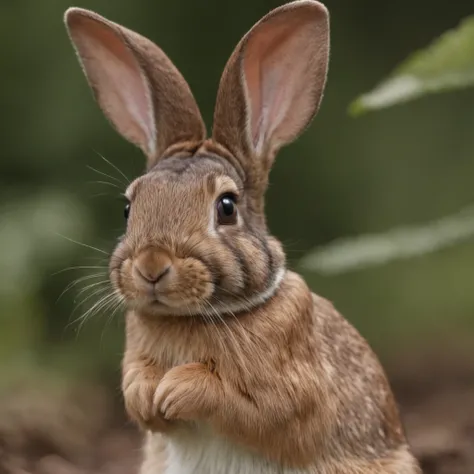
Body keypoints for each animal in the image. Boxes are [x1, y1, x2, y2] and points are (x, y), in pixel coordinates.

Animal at [64, 2, 422, 474]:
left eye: (227, 207)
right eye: (128, 208)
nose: (151, 266)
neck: (195, 316)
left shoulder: (292, 396)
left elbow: (250, 407)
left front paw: (174, 389)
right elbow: (136, 390)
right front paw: (148, 394)